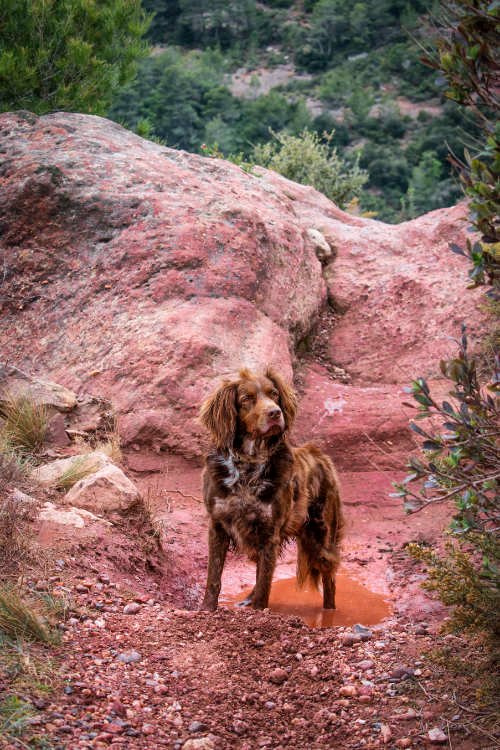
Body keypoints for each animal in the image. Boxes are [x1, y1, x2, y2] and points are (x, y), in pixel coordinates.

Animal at [199, 368, 344, 612]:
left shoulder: (269, 532)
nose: (275, 413)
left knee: (330, 579)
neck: (247, 464)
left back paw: (330, 612)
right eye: (246, 399)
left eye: (274, 394)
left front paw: (259, 611)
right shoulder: (217, 525)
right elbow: (214, 578)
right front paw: (206, 609)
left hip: (320, 536)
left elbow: (265, 581)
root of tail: (320, 456)